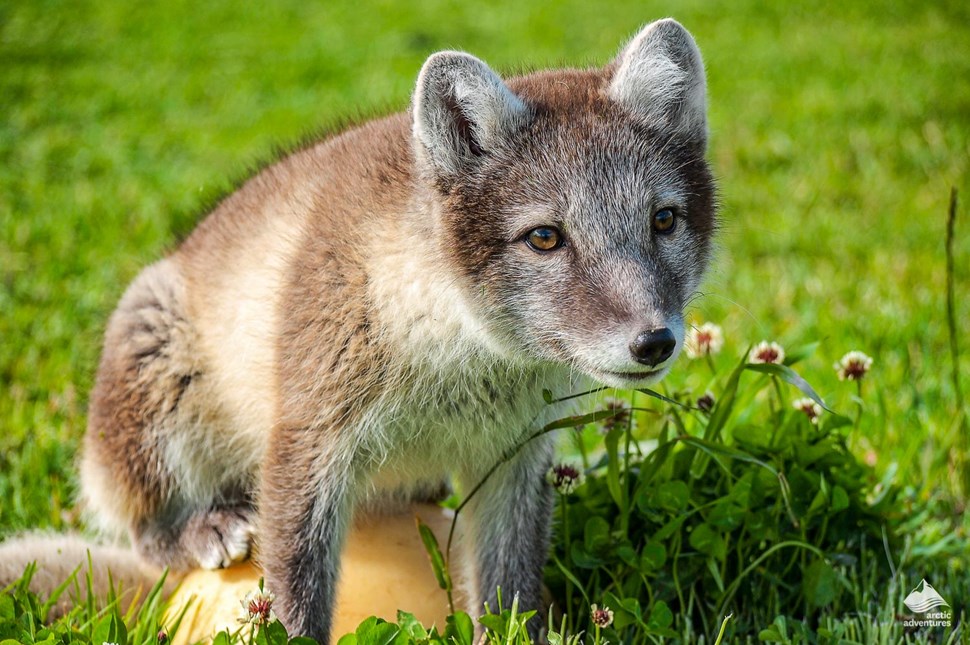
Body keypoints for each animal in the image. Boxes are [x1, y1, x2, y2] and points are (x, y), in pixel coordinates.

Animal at [32, 17, 712, 640]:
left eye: (664, 220)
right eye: (545, 237)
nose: (654, 342)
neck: (457, 355)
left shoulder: (515, 456)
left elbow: (508, 589)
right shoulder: (308, 438)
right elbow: (296, 590)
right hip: (151, 361)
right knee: (141, 530)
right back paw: (200, 528)